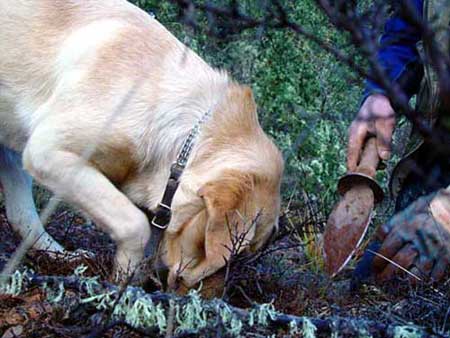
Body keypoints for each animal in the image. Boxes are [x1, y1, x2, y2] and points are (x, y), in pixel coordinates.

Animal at [0, 0, 282, 288]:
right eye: (228, 251)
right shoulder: (47, 152)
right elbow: (135, 225)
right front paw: (120, 283)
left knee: (21, 216)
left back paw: (64, 257)